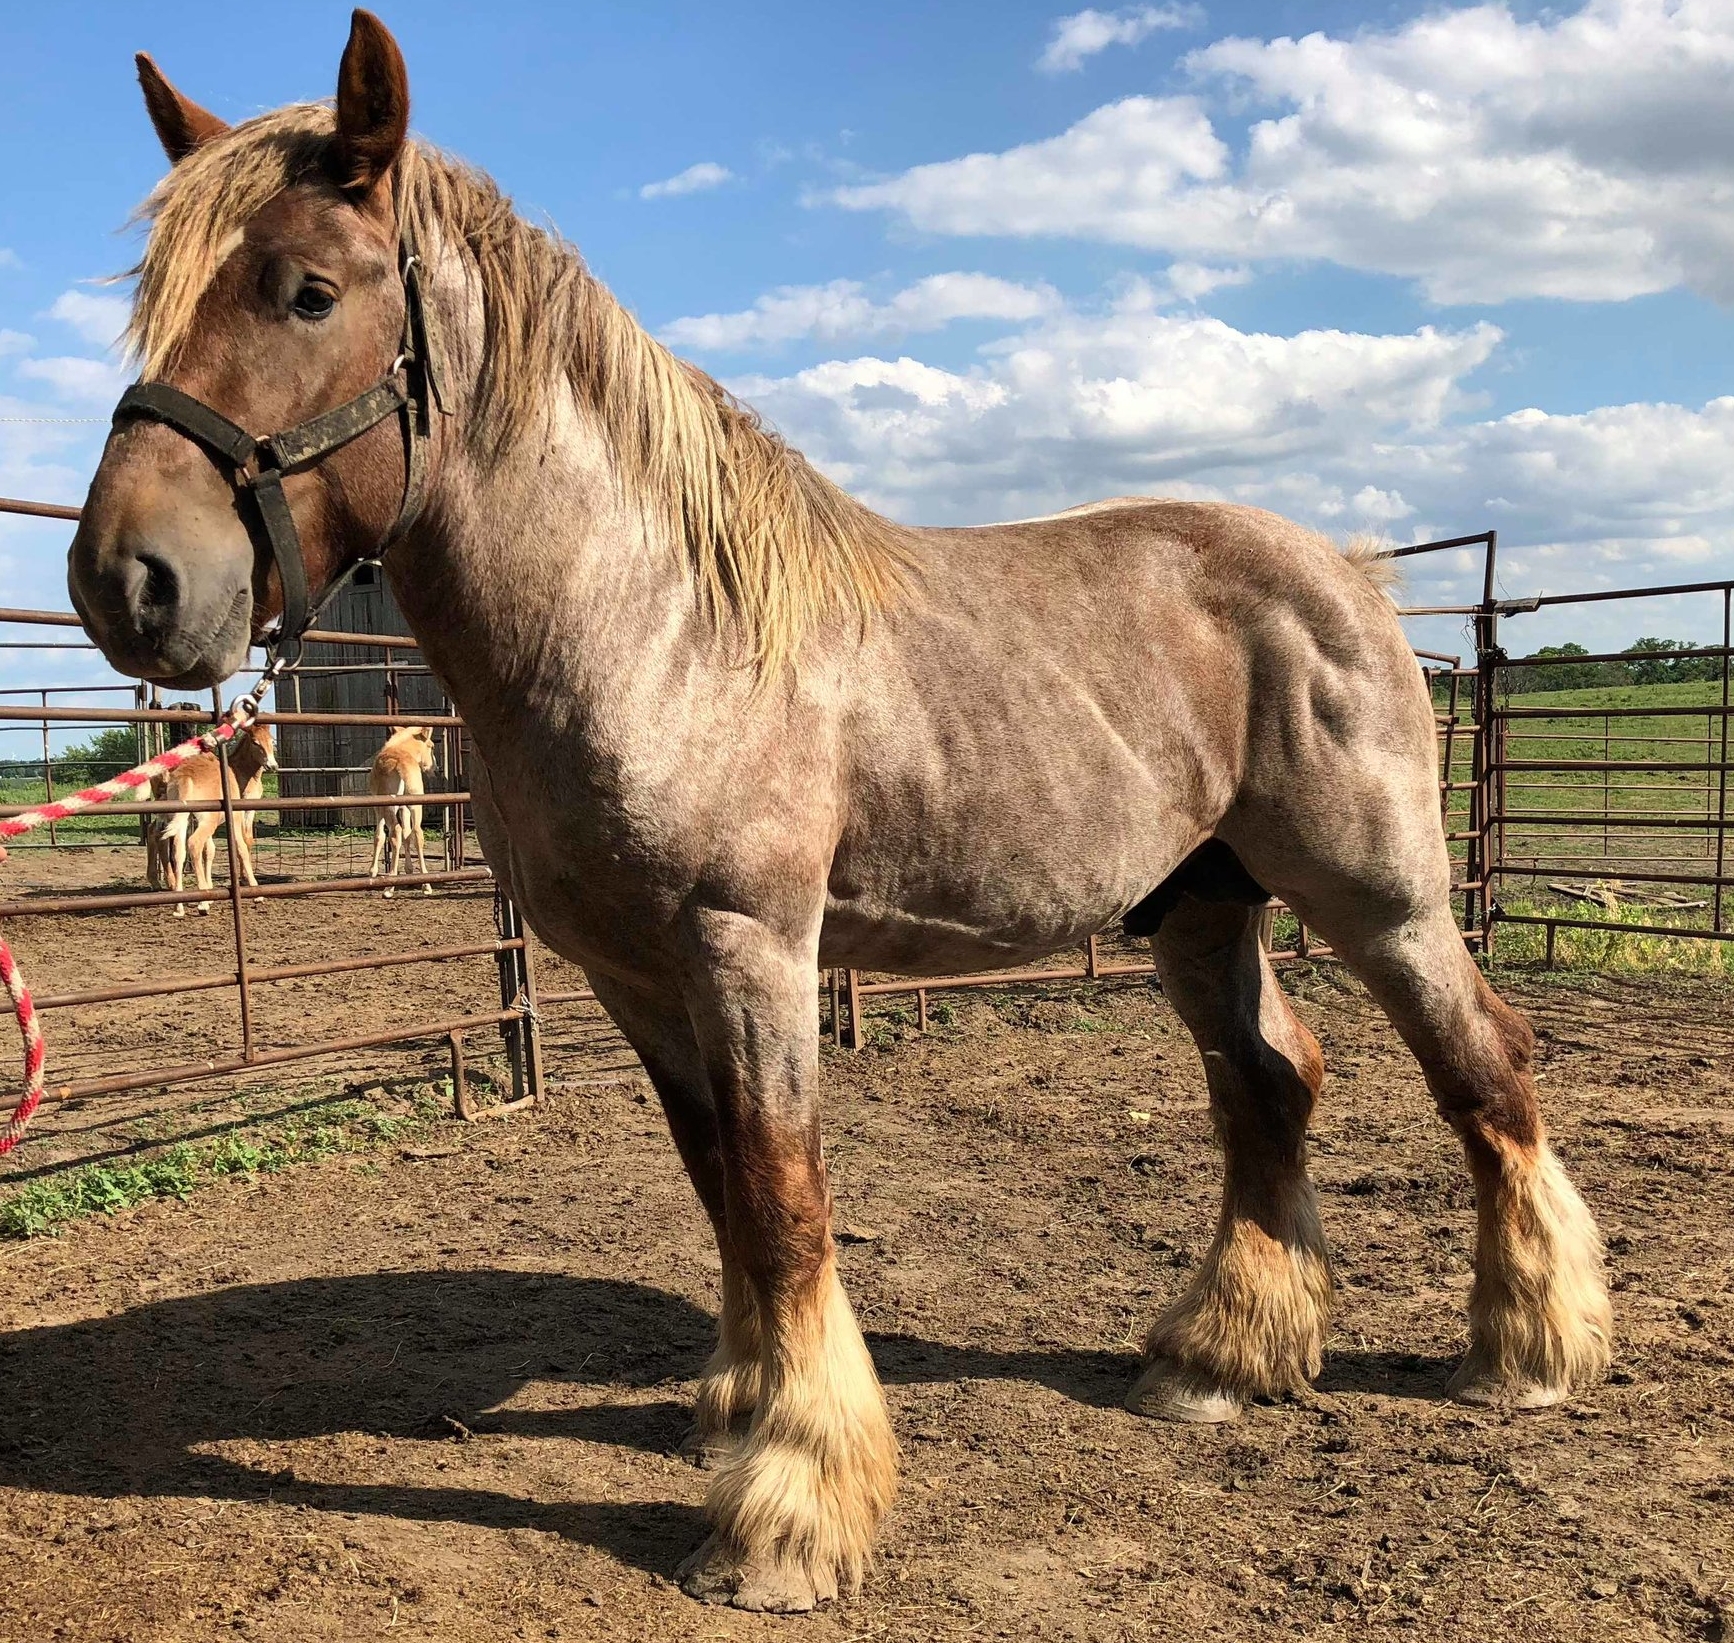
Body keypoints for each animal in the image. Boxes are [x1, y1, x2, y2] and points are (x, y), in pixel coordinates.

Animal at [367, 720, 436, 901]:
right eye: (431, 746)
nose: (434, 769)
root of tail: (401, 766)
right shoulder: (405, 807)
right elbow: (407, 835)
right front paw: (409, 871)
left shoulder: (378, 807)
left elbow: (379, 836)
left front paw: (372, 872)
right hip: (415, 805)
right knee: (417, 833)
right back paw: (426, 885)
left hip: (389, 807)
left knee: (395, 832)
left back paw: (389, 887)